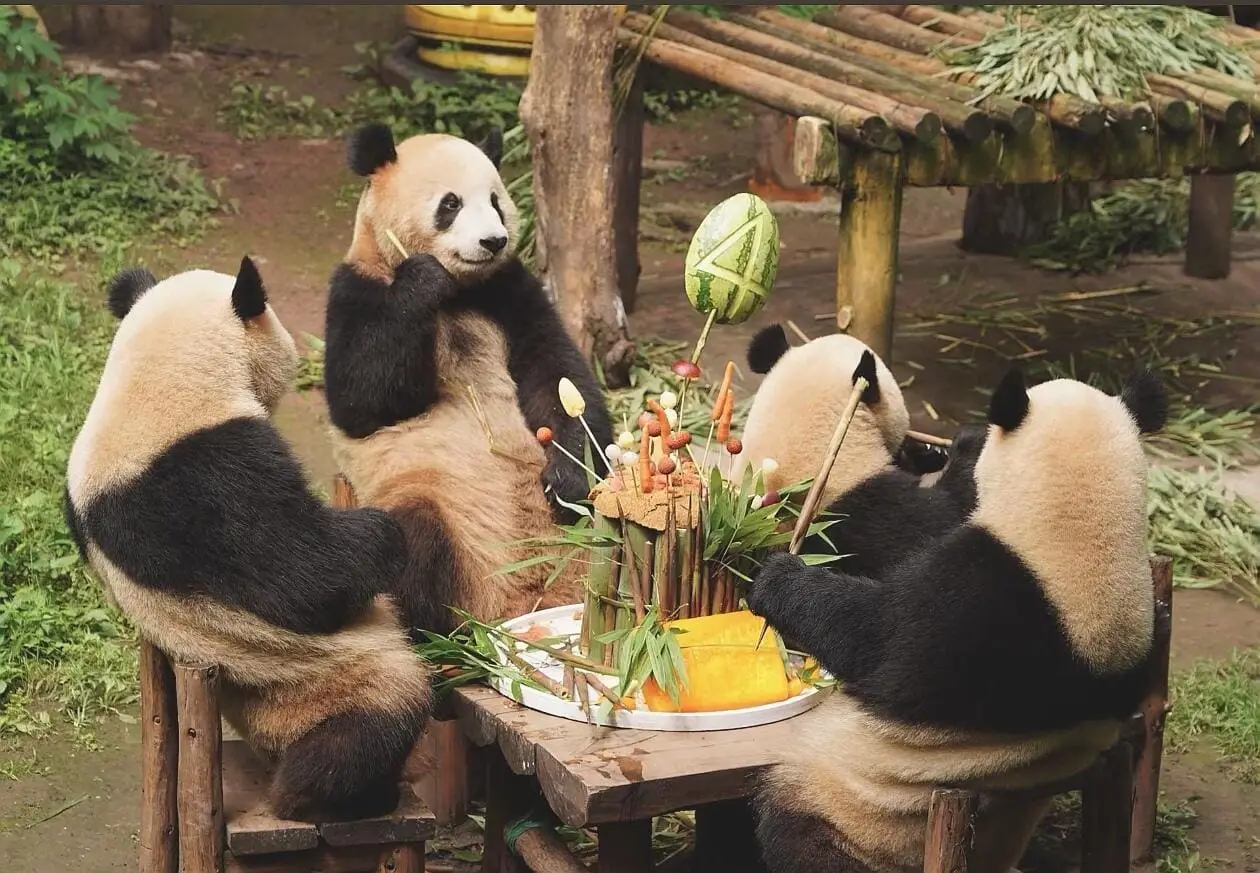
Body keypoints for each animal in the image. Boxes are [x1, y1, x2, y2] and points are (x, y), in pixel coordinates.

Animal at [64, 258, 431, 822]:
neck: (161, 376)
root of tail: (269, 739)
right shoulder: (206, 477)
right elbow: (309, 576)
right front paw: (381, 532)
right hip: (327, 680)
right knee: (370, 728)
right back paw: (329, 797)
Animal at [321, 123, 614, 636]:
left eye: (496, 200)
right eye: (451, 203)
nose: (494, 241)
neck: (459, 292)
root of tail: (514, 603)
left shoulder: (510, 292)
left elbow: (558, 376)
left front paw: (567, 479)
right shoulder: (355, 288)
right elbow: (362, 399)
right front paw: (421, 280)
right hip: (436, 509)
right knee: (408, 538)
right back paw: (435, 632)